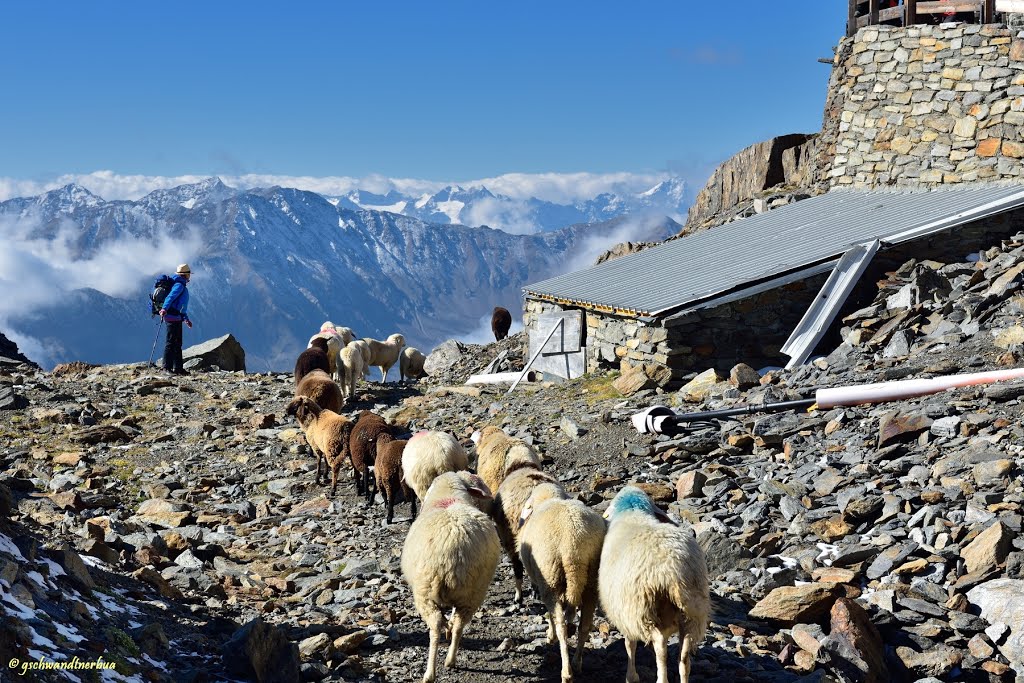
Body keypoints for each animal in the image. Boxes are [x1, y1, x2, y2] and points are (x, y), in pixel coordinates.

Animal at [399, 471, 499, 683]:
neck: (448, 495)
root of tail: (453, 546)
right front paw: (450, 626)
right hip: (473, 591)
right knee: (460, 625)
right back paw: (450, 659)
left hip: (425, 592)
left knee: (435, 627)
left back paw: (430, 673)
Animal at [520, 483, 606, 679]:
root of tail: (572, 544)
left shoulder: (543, 581)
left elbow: (550, 615)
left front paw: (549, 635)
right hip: (590, 580)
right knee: (584, 626)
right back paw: (577, 663)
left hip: (550, 577)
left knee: (561, 626)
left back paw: (566, 672)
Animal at [598, 485, 708, 683]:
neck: (632, 512)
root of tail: (672, 572)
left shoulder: (626, 614)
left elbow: (629, 644)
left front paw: (631, 676)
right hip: (694, 611)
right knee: (684, 656)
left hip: (644, 611)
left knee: (660, 649)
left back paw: (660, 678)